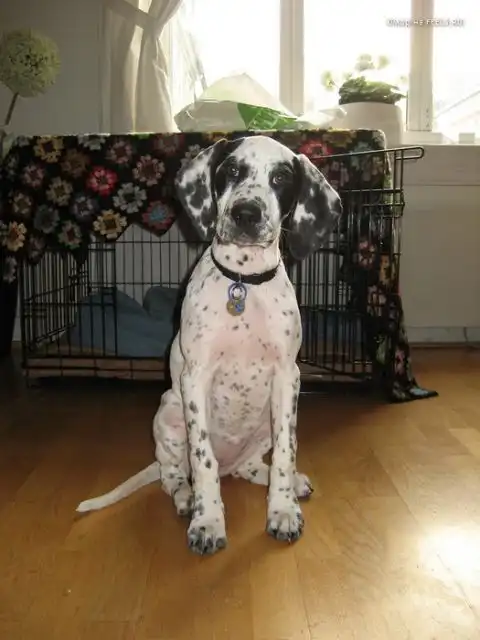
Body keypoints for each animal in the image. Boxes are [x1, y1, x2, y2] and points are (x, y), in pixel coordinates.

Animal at [76, 134, 342, 555]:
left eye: (281, 178)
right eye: (231, 169)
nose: (246, 213)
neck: (244, 281)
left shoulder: (289, 378)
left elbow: (286, 452)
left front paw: (283, 510)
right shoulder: (194, 379)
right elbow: (203, 462)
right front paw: (208, 522)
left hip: (264, 420)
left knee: (253, 466)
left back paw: (286, 481)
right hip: (168, 413)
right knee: (173, 474)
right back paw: (186, 498)